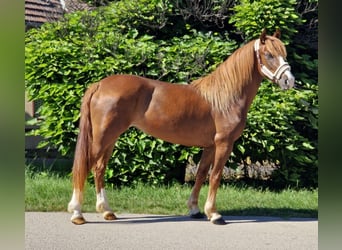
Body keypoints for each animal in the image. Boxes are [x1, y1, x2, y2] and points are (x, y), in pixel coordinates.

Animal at [67, 29, 294, 225]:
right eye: (268, 54)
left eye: (283, 54)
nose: (289, 81)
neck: (225, 97)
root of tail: (99, 85)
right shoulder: (224, 144)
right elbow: (215, 176)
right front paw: (214, 214)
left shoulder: (210, 146)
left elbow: (201, 174)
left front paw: (195, 210)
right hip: (102, 138)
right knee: (85, 166)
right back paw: (77, 213)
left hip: (110, 139)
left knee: (99, 168)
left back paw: (106, 211)